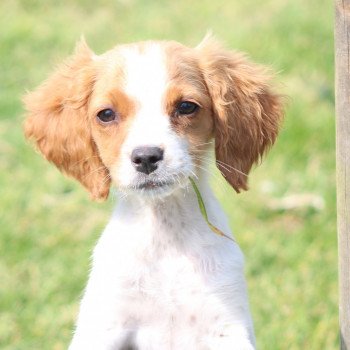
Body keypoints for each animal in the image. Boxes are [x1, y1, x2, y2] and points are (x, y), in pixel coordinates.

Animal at [23, 37, 282, 348]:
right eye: (106, 114)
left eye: (186, 106)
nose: (146, 157)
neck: (166, 235)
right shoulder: (103, 327)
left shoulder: (227, 326)